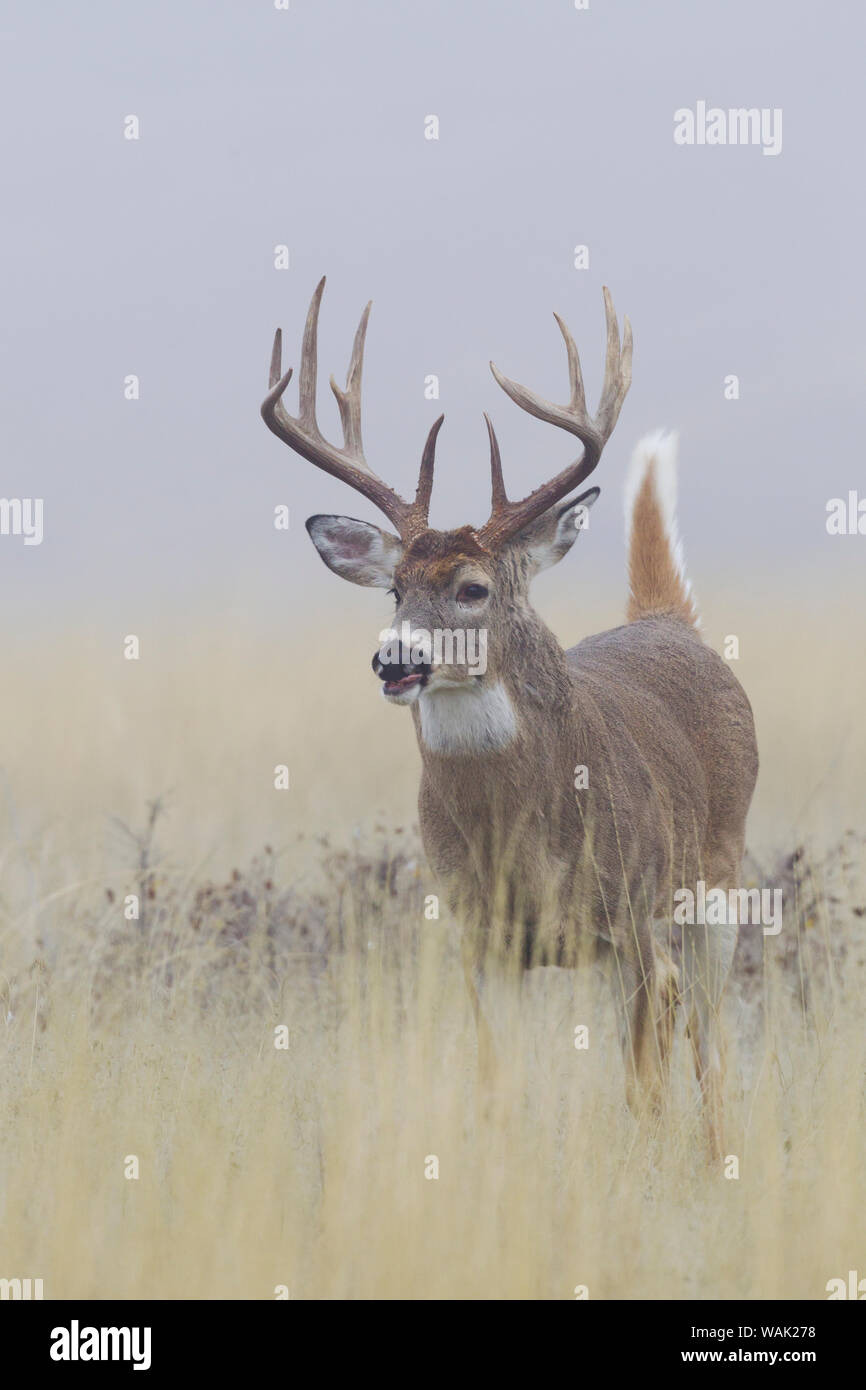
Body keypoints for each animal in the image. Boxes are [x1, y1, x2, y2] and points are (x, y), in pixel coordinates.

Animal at [262, 276, 756, 1156]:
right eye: (395, 590)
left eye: (473, 588)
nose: (394, 660)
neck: (525, 836)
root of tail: (670, 621)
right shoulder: (482, 938)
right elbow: (498, 1089)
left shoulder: (629, 917)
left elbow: (643, 1086)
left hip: (716, 876)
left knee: (709, 1042)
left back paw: (716, 1155)